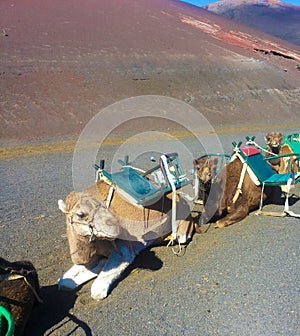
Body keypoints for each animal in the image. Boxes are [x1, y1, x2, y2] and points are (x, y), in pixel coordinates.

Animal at [58, 180, 195, 300]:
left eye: (101, 206)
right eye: (80, 214)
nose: (116, 228)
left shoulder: (124, 250)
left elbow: (97, 289)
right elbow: (63, 282)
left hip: (182, 231)